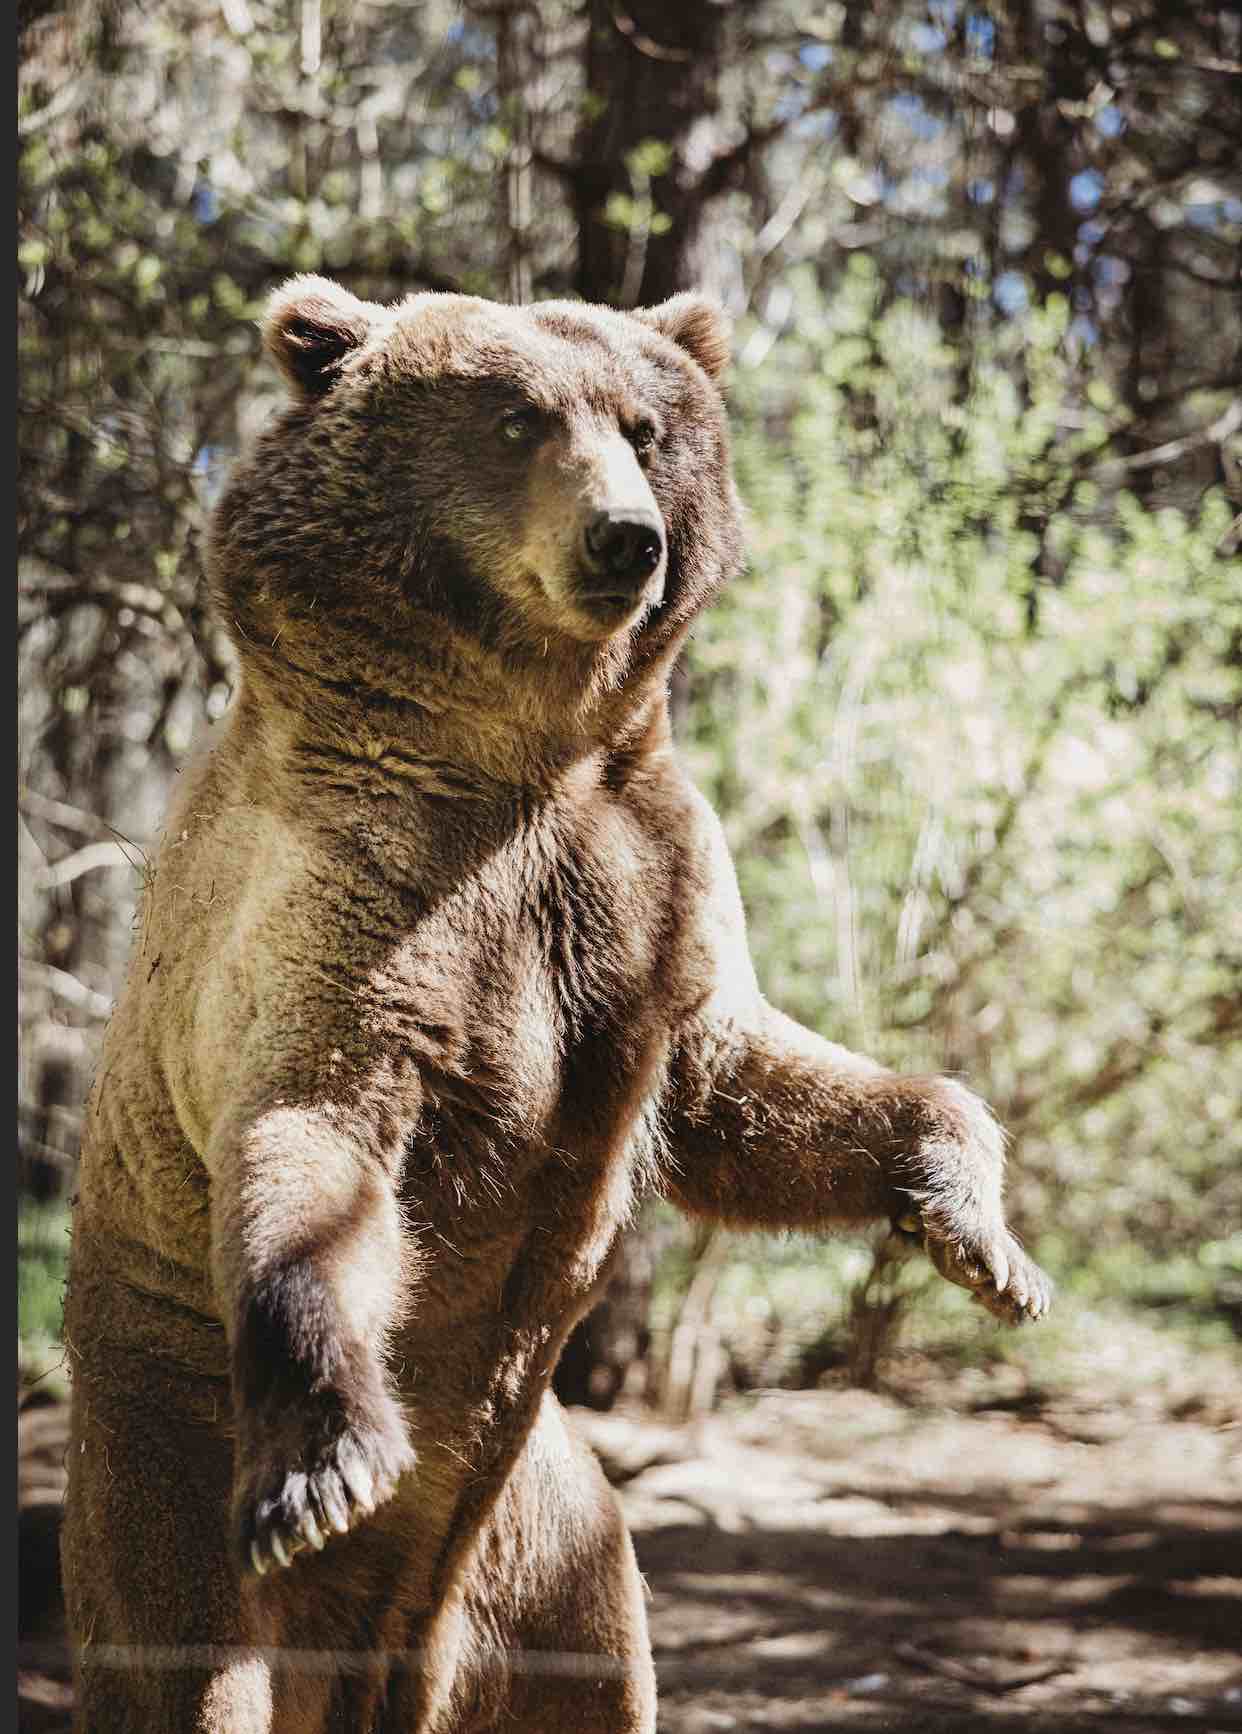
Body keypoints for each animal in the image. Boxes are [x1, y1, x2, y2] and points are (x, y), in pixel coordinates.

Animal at [60, 275, 1052, 1734]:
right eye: (517, 417)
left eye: (645, 425)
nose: (626, 539)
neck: (519, 747)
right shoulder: (346, 892)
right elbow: (316, 1133)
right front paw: (327, 1469)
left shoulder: (643, 891)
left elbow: (742, 1088)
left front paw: (985, 1238)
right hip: (168, 1438)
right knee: (181, 1660)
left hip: (548, 1536)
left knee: (582, 1660)